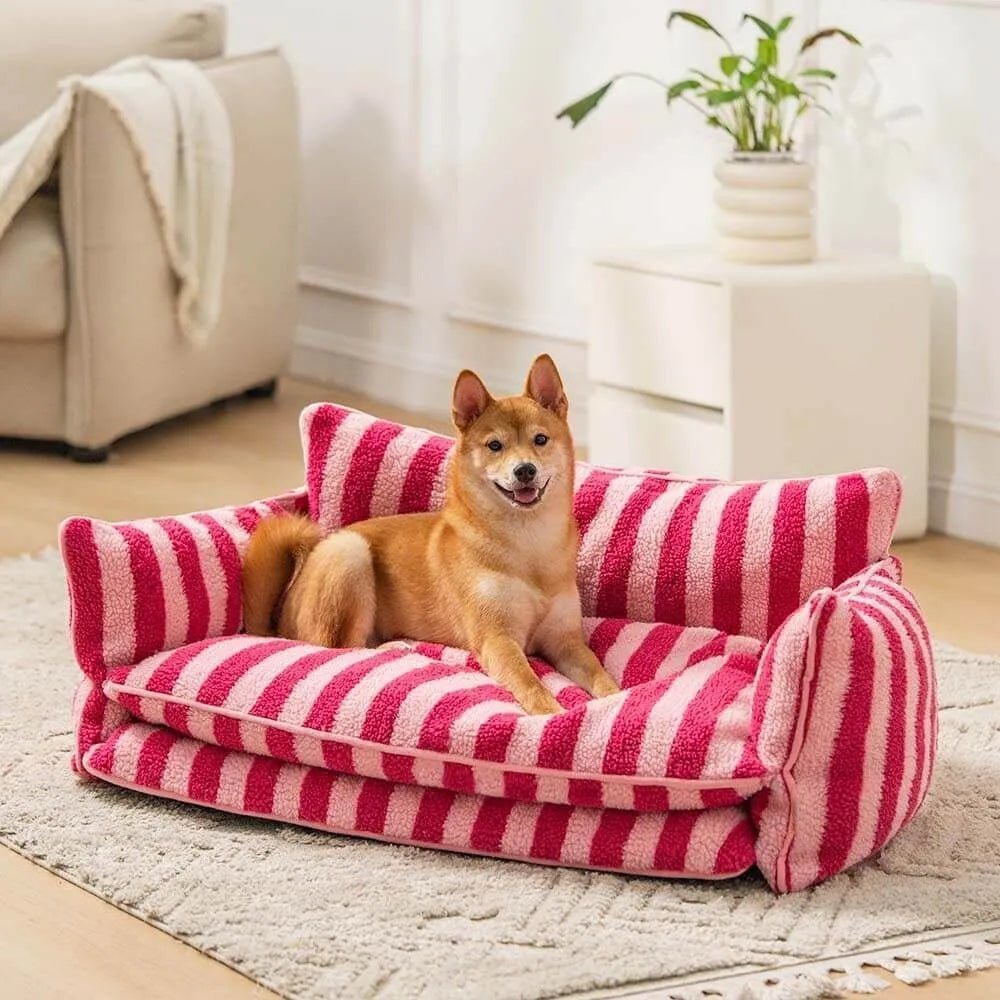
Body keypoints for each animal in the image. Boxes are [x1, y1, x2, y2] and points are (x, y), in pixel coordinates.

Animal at [242, 356, 616, 716]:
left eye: (540, 440)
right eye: (495, 445)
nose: (524, 470)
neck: (528, 545)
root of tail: (278, 622)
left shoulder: (565, 641)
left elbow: (600, 674)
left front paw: (615, 699)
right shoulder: (498, 639)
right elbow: (529, 681)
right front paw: (549, 713)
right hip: (349, 554)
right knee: (341, 647)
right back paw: (392, 647)